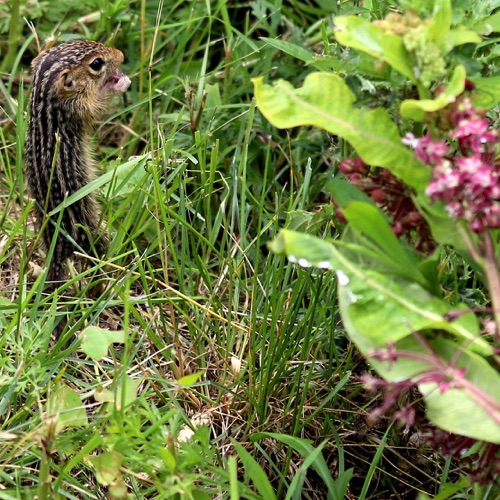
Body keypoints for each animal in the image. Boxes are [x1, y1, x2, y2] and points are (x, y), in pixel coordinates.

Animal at [24, 40, 131, 286]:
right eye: (97, 64)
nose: (121, 55)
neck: (44, 100)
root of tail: (56, 253)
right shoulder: (78, 111)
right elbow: (97, 110)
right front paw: (121, 84)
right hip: (92, 231)